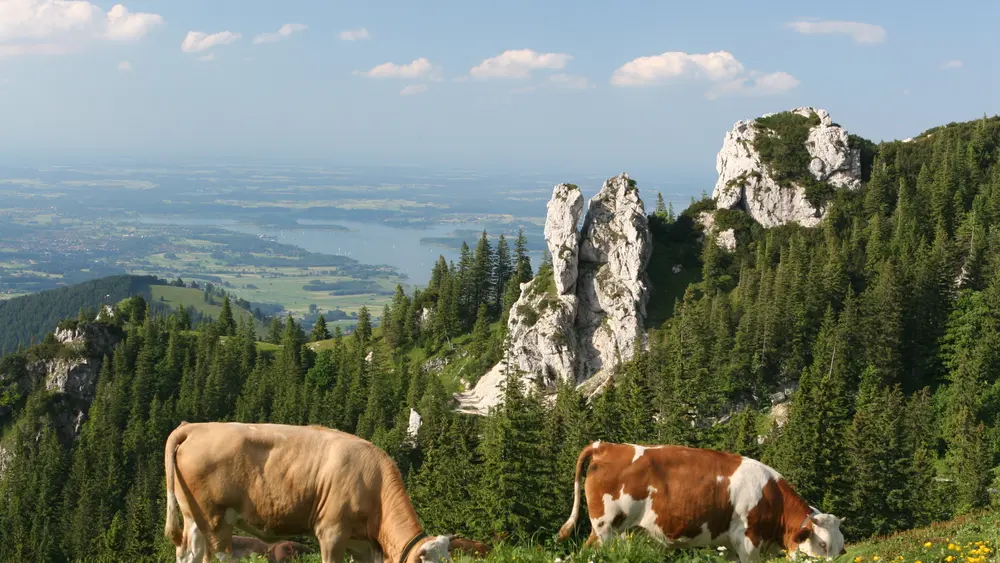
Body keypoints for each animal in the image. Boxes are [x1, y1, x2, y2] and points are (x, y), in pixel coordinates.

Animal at [163, 421, 490, 563]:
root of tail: (195, 426)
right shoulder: (332, 531)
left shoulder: (362, 545)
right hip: (217, 519)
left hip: (193, 517)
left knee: (188, 554)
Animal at [557, 441, 846, 563]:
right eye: (822, 544)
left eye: (841, 549)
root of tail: (605, 445)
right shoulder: (748, 541)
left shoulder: (730, 548)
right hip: (605, 528)